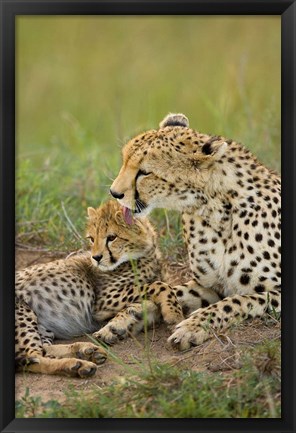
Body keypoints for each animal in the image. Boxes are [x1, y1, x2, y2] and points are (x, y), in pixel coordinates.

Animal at [15, 199, 185, 374]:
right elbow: (160, 285)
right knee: (30, 358)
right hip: (21, 309)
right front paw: (174, 314)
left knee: (42, 350)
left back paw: (85, 352)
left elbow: (156, 294)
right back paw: (78, 364)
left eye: (112, 237)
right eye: (91, 238)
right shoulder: (104, 301)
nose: (96, 257)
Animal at [110, 112, 280, 352]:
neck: (214, 209)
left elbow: (235, 302)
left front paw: (193, 327)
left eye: (144, 173)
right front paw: (124, 318)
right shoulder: (210, 286)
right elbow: (172, 291)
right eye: (125, 161)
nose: (114, 193)